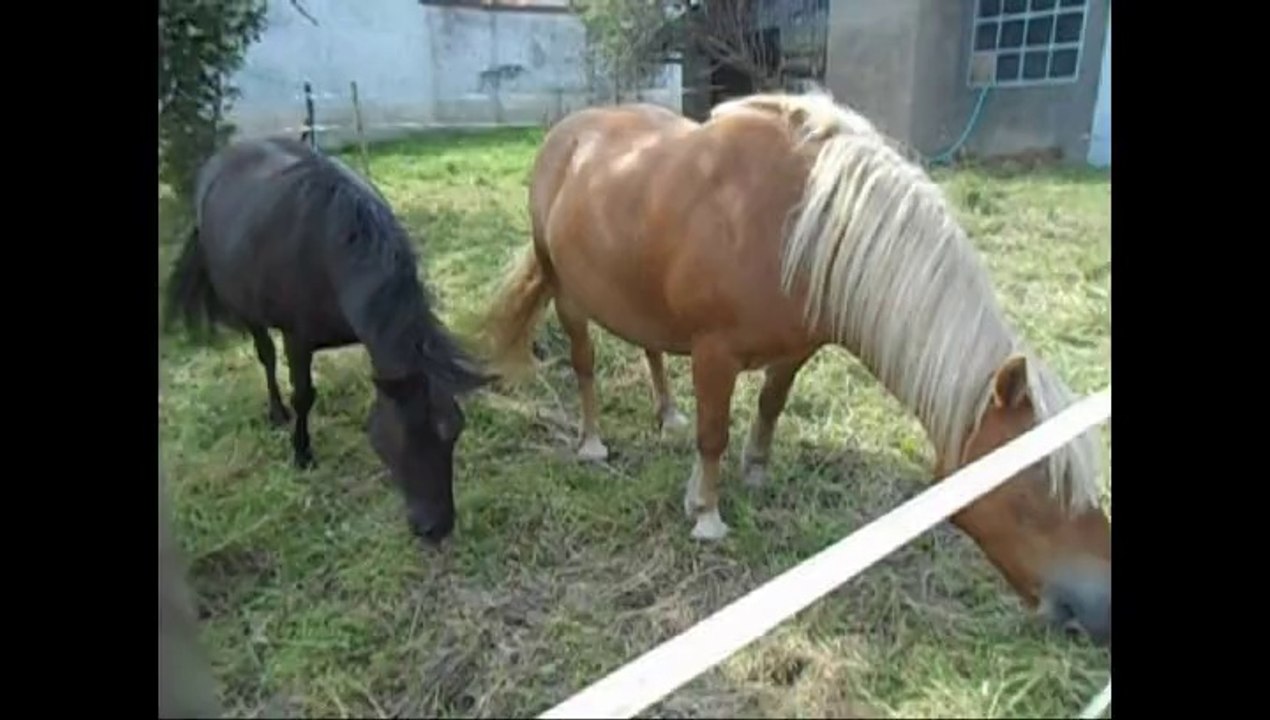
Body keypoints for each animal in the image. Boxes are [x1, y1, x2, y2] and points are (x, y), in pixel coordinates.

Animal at [163, 136, 490, 544]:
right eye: (405, 438)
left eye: (454, 431)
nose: (436, 528)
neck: (334, 248)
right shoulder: (297, 338)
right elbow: (303, 395)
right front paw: (302, 454)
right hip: (249, 311)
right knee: (265, 355)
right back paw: (276, 413)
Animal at [477, 91, 1111, 645]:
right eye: (1034, 487)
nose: (1099, 612)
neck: (800, 224)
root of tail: (566, 132)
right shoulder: (714, 352)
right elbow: (714, 435)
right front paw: (707, 516)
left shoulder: (794, 352)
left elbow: (768, 407)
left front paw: (751, 474)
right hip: (566, 292)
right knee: (584, 365)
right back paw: (591, 443)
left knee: (650, 349)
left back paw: (667, 414)